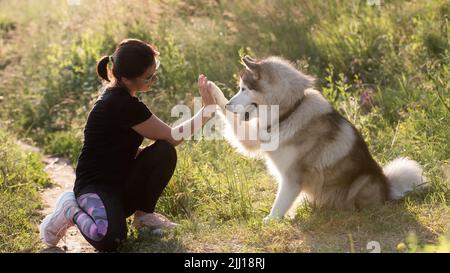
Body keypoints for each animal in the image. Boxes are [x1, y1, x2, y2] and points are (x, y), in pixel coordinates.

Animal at [209, 55, 424, 221]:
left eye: (244, 89)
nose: (229, 105)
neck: (290, 111)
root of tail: (387, 188)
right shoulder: (256, 137)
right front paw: (211, 90)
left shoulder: (292, 176)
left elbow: (280, 202)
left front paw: (271, 220)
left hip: (363, 180)